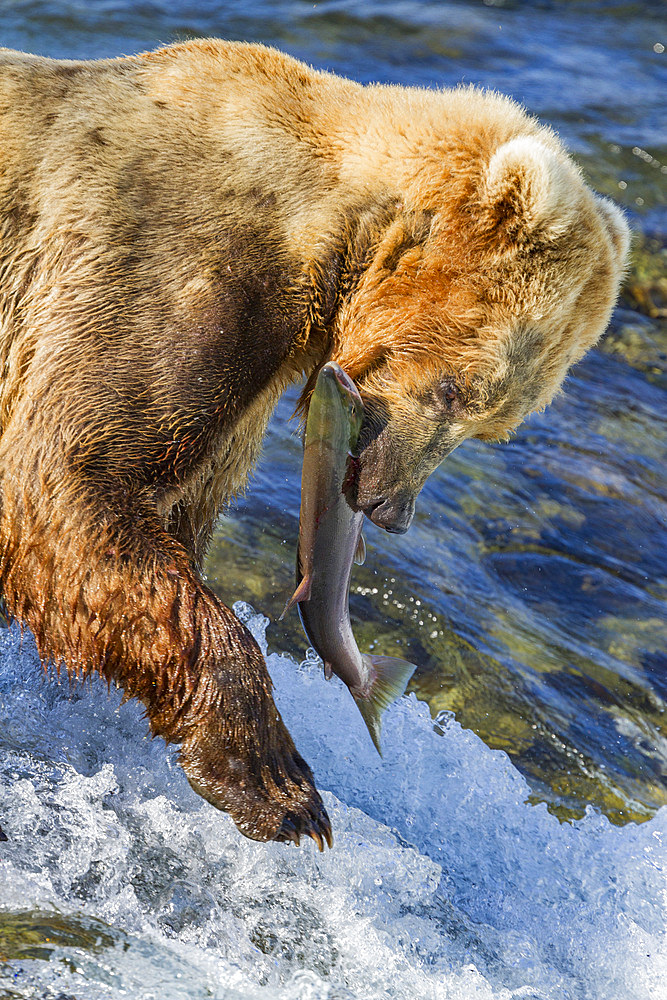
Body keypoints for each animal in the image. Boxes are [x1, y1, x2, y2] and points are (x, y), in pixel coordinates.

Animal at [0, 43, 628, 848]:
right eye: (456, 390)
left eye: (495, 428)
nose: (391, 507)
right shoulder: (163, 266)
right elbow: (70, 477)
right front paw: (284, 789)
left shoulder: (241, 396)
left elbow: (164, 518)